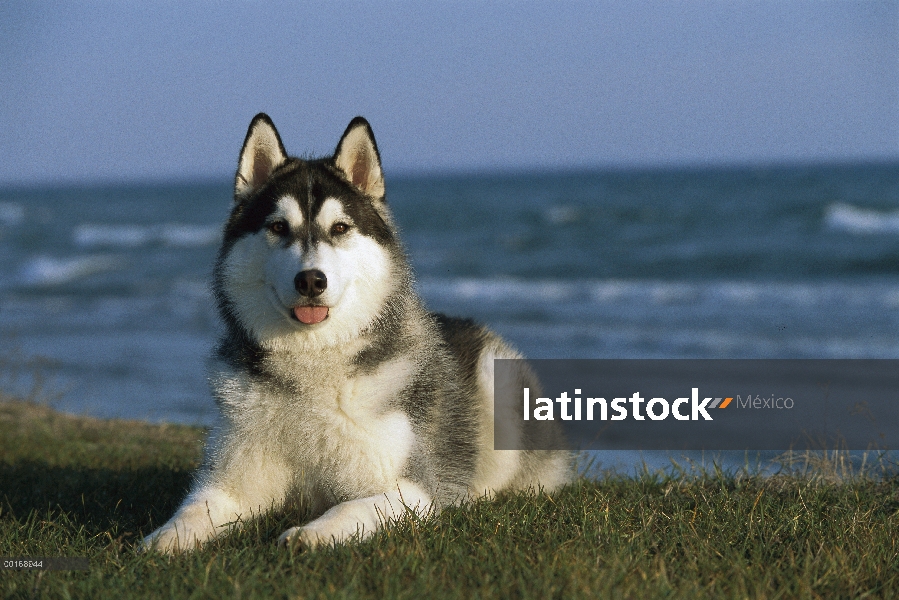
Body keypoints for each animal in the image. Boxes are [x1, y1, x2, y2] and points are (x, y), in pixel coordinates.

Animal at [144, 113, 572, 552]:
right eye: (278, 226)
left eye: (340, 227)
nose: (311, 280)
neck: (312, 362)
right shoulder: (230, 484)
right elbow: (192, 512)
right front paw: (162, 541)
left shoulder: (412, 489)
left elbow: (351, 508)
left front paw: (311, 533)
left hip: (497, 384)